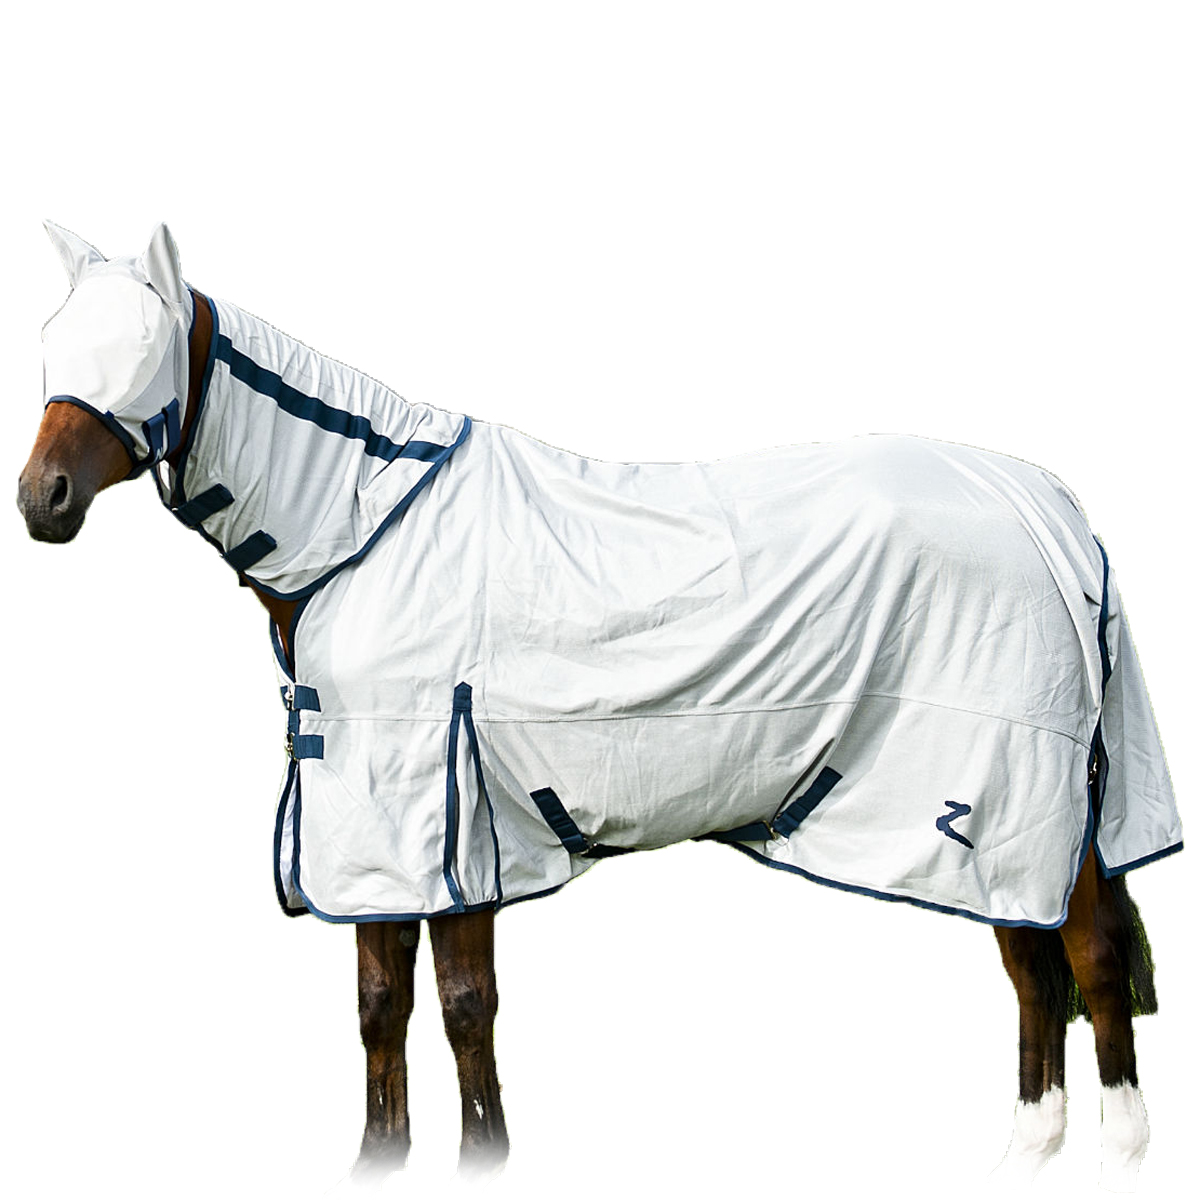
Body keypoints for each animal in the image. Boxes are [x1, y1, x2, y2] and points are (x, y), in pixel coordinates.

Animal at [18, 222, 1182, 1190]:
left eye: (144, 349)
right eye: (51, 343)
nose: (42, 501)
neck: (364, 533)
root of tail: (1049, 510)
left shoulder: (455, 821)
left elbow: (465, 1011)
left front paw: (486, 1158)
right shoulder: (371, 830)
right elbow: (380, 1009)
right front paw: (379, 1160)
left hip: (1028, 801)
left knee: (1085, 959)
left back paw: (1121, 1153)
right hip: (994, 831)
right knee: (1032, 967)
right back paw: (1024, 1153)